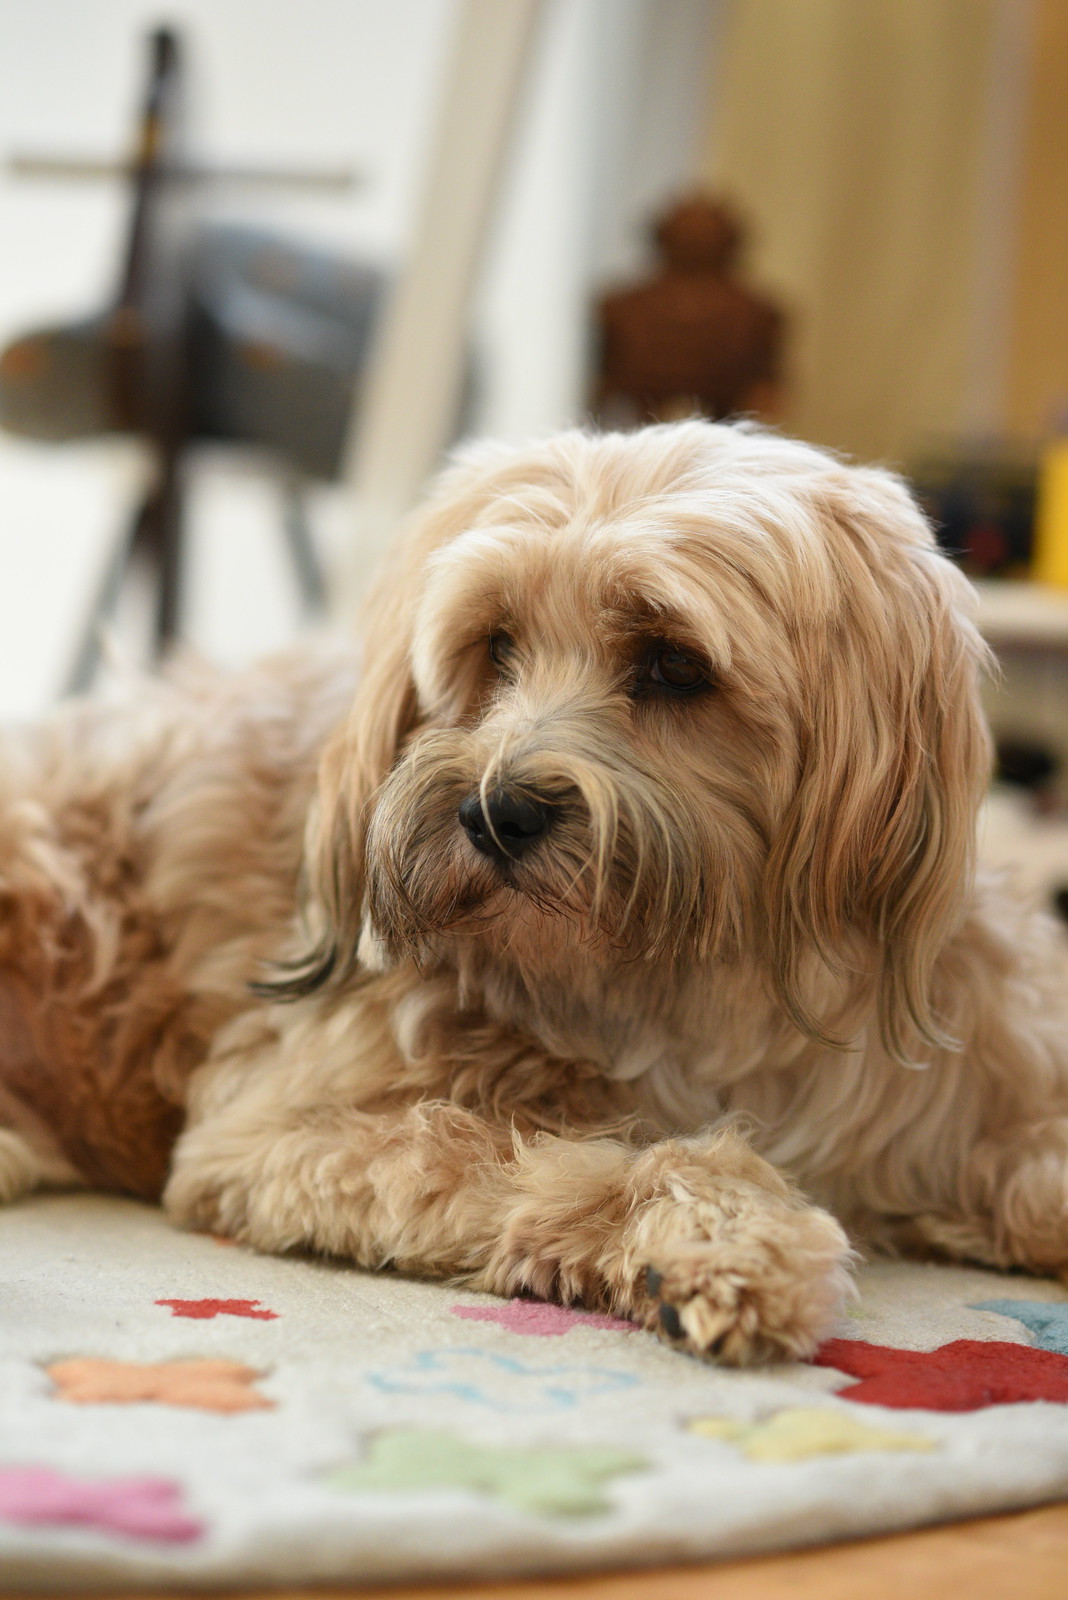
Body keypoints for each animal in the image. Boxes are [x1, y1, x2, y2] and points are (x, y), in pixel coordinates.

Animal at [2, 425, 1068, 1363]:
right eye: (497, 644)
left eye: (674, 662)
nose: (494, 812)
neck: (703, 994)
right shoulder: (274, 1130)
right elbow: (544, 1151)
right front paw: (726, 1236)